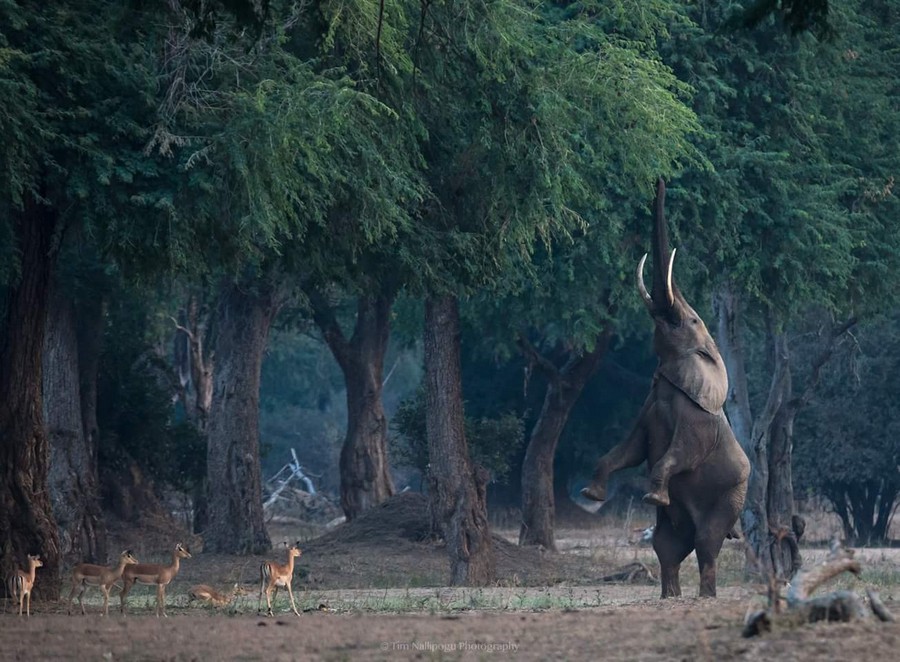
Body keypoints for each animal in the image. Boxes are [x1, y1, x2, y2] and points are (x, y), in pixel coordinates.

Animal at [580, 179, 748, 600]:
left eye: (690, 320)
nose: (659, 181)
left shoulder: (697, 423)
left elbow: (678, 453)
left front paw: (652, 496)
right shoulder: (647, 408)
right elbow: (628, 449)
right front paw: (592, 495)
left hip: (731, 497)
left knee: (706, 542)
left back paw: (705, 597)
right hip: (676, 526)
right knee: (667, 546)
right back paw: (669, 596)